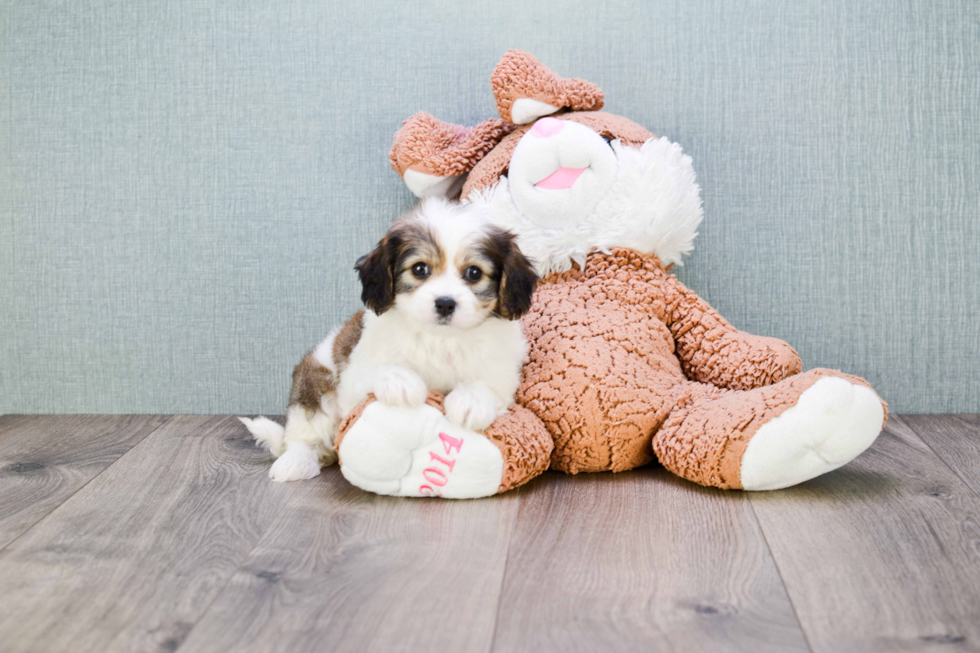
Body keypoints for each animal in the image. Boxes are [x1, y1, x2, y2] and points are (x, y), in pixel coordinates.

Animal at [242, 196, 540, 482]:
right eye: (419, 269)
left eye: (474, 273)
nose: (445, 303)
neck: (439, 339)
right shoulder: (354, 377)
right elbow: (381, 370)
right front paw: (401, 382)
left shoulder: (501, 373)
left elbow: (486, 385)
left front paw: (471, 401)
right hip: (315, 384)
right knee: (302, 435)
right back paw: (295, 462)